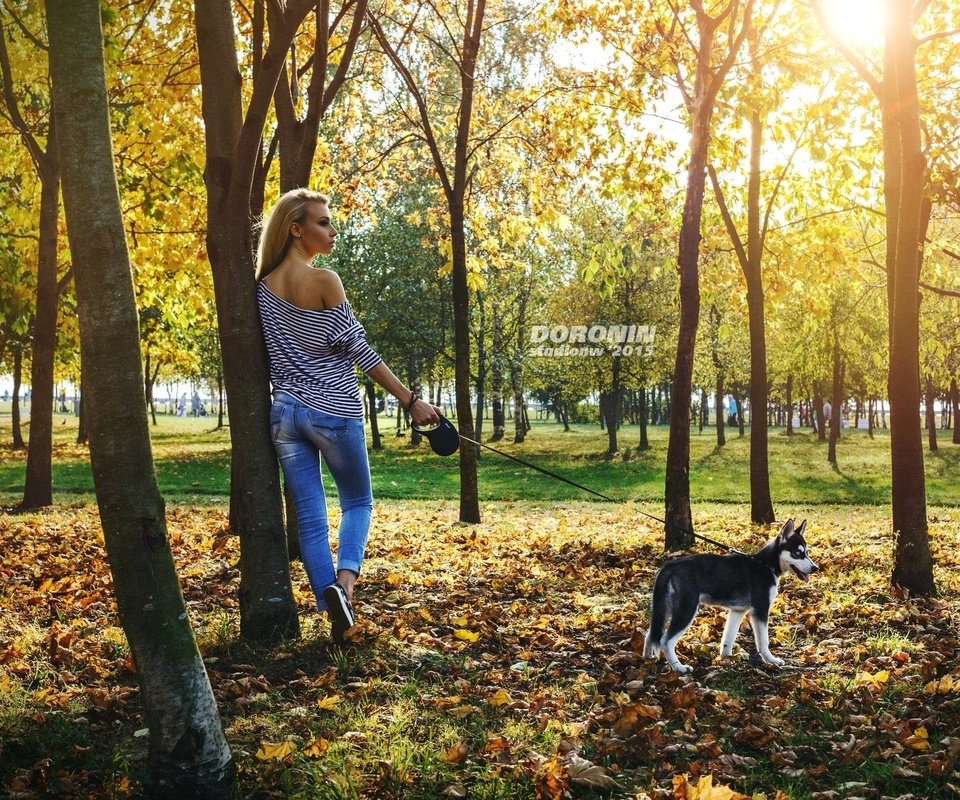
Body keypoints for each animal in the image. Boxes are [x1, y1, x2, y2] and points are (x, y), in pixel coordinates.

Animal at [644, 516, 816, 672]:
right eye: (797, 553)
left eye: (807, 552)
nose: (815, 568)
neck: (765, 565)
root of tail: (670, 565)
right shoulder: (760, 610)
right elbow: (763, 642)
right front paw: (771, 660)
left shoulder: (737, 611)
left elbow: (728, 638)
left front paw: (727, 659)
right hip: (687, 610)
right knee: (665, 640)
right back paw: (678, 667)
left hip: (663, 608)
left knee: (650, 634)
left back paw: (647, 659)